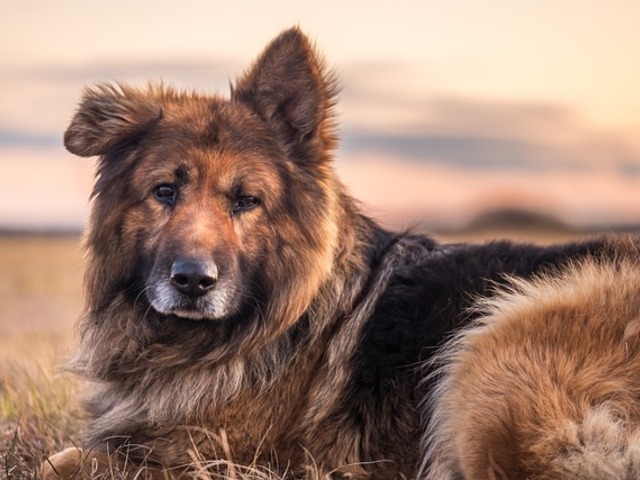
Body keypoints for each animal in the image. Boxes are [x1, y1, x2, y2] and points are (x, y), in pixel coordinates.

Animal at [43, 27, 640, 480]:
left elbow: (61, 461)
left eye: (246, 201)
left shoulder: (205, 456)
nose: (192, 281)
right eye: (164, 191)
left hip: (489, 359)